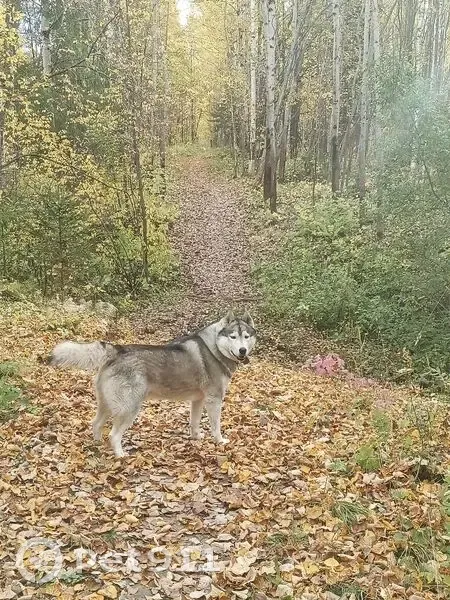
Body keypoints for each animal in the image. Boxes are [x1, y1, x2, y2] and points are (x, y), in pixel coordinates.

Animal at [46, 311, 256, 457]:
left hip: (106, 405)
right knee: (113, 435)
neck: (214, 349)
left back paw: (98, 445)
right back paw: (120, 455)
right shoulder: (214, 399)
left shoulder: (198, 400)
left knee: (96, 424)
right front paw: (219, 441)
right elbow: (216, 426)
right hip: (129, 409)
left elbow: (194, 422)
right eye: (233, 336)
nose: (243, 350)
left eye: (246, 336)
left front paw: (196, 437)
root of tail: (117, 350)